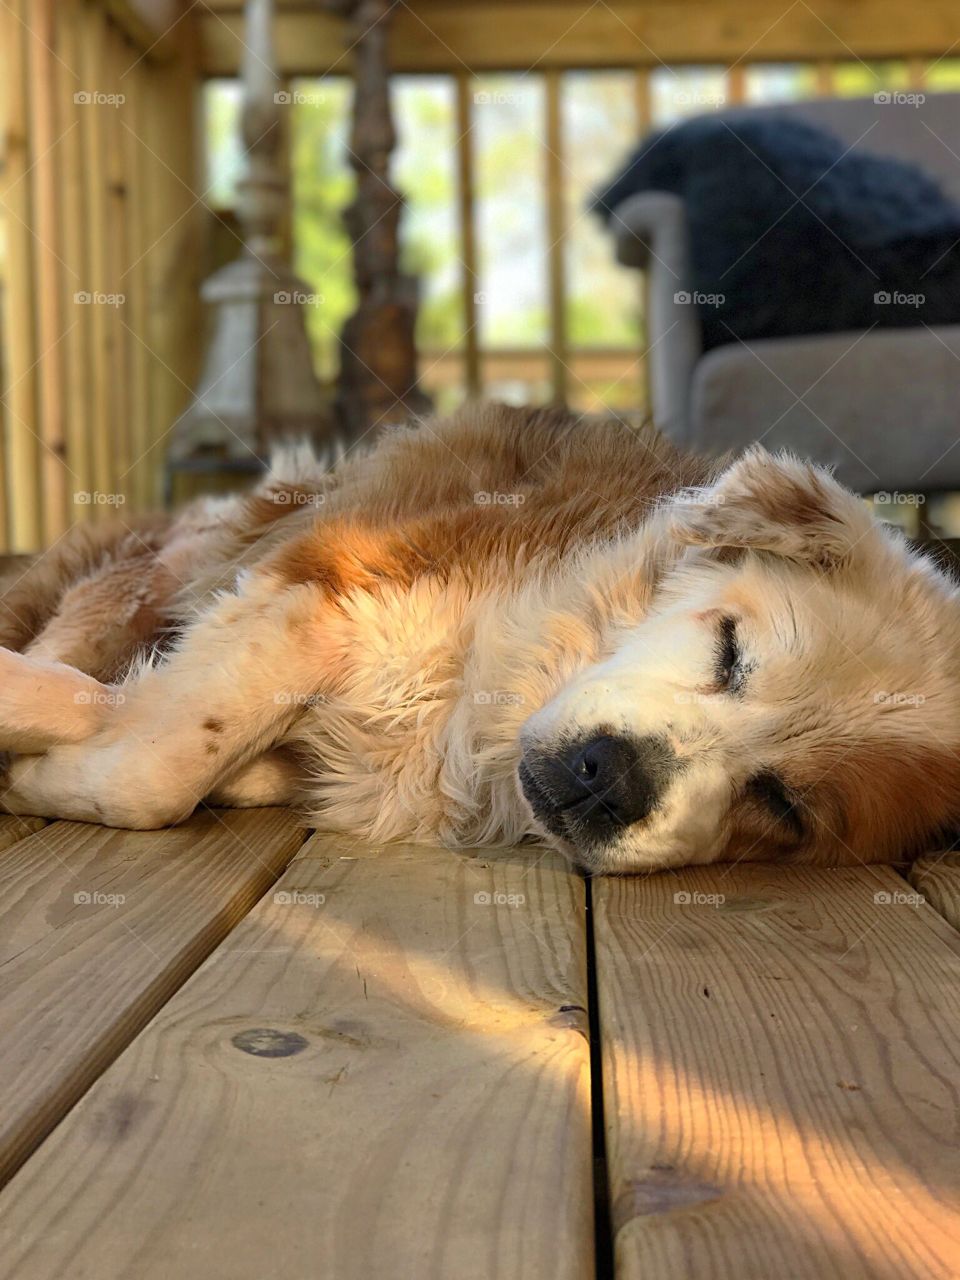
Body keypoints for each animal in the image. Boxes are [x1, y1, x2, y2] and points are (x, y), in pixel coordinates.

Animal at [1, 404, 960, 875]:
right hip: (164, 569)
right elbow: (156, 767)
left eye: (784, 807)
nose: (611, 779)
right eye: (731, 650)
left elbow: (166, 754)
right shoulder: (329, 583)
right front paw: (42, 759)